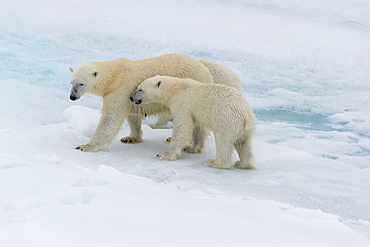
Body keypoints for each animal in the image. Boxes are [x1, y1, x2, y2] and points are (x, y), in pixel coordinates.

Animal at [69, 53, 243, 151]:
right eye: (71, 82)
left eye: (81, 83)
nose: (72, 97)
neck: (114, 75)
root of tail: (204, 69)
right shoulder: (130, 95)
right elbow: (132, 115)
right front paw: (131, 138)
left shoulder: (120, 89)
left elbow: (110, 118)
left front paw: (85, 146)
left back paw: (191, 145)